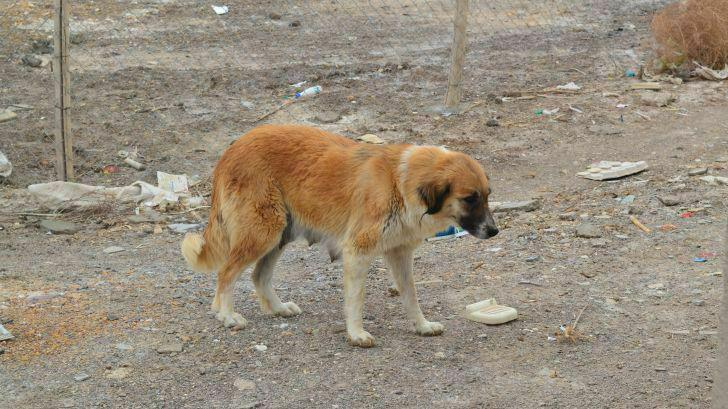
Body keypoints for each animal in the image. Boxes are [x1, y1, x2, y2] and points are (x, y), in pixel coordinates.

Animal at [183, 123, 500, 344]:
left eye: (487, 196)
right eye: (469, 198)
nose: (494, 231)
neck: (400, 182)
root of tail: (232, 149)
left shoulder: (399, 254)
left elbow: (411, 295)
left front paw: (421, 326)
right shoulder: (358, 250)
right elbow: (356, 299)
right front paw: (356, 334)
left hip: (280, 233)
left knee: (258, 276)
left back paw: (278, 308)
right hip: (263, 232)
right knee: (226, 273)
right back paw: (227, 315)